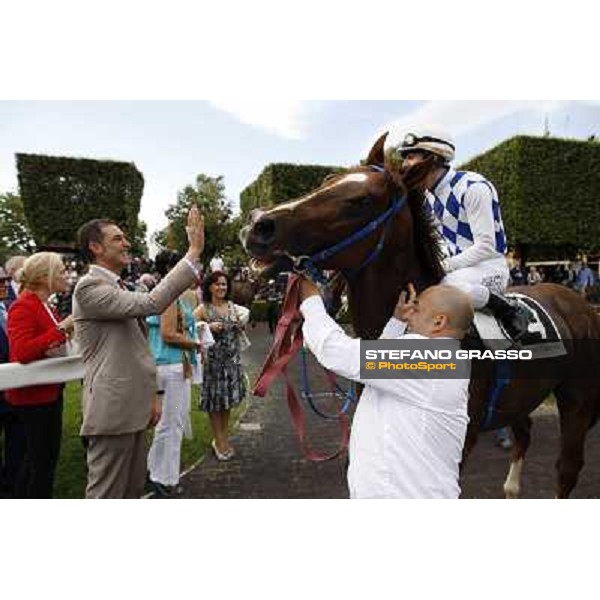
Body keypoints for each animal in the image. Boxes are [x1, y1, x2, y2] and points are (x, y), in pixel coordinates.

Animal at [243, 134, 600, 500]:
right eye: (326, 181)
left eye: (359, 200)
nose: (258, 223)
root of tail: (579, 302)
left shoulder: (458, 442)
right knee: (524, 435)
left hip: (577, 399)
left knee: (567, 470)